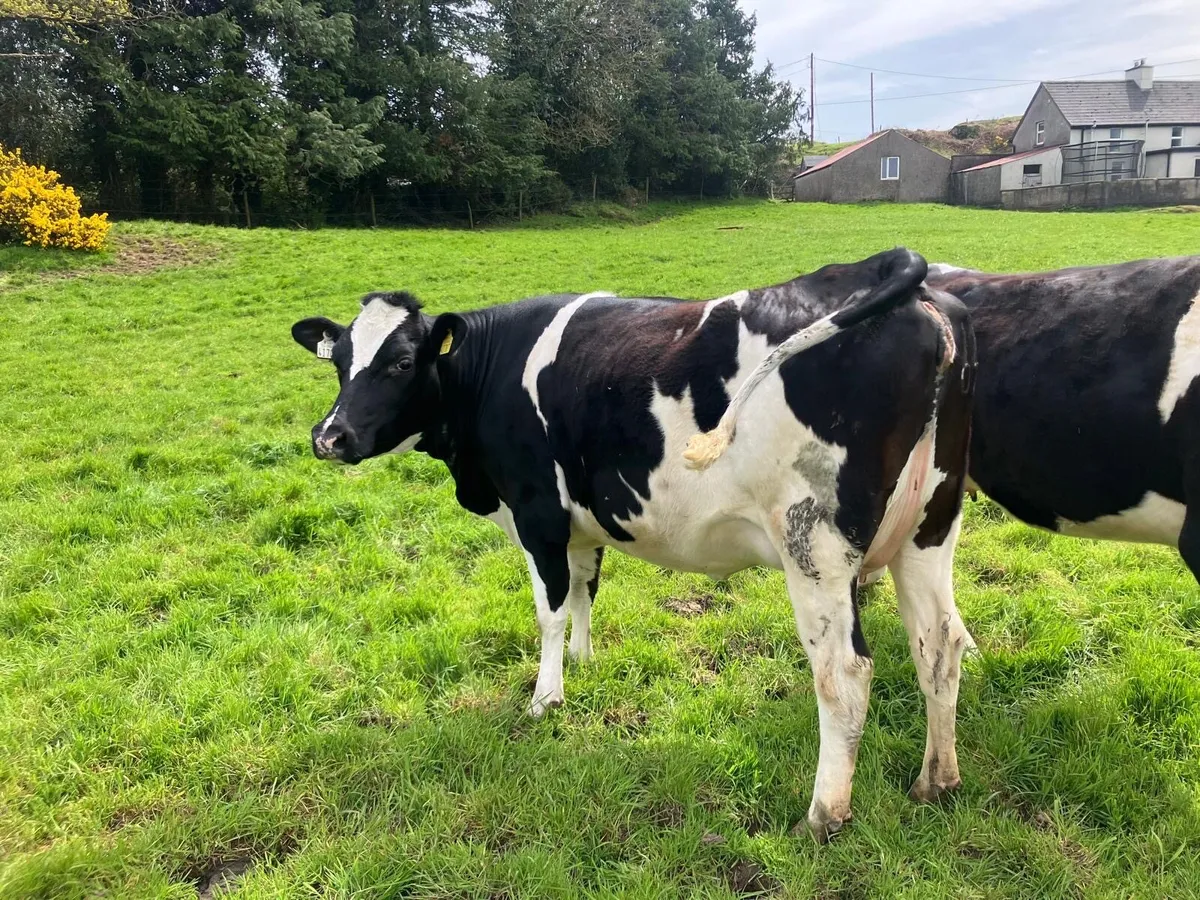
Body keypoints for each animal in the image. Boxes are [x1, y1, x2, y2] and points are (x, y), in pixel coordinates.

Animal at [290, 247, 977, 840]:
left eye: (401, 363)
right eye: (338, 361)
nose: (329, 437)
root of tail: (903, 282)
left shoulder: (538, 513)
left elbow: (550, 609)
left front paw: (546, 698)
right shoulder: (580, 521)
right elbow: (585, 588)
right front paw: (585, 662)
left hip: (815, 545)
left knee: (844, 672)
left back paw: (823, 814)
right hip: (928, 527)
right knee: (939, 644)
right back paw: (936, 781)